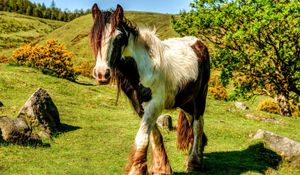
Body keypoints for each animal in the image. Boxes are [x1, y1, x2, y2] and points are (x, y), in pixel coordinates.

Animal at [90, 3, 210, 174]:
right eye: (94, 35)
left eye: (118, 37)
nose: (101, 74)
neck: (142, 68)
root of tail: (199, 43)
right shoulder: (139, 106)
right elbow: (154, 135)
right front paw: (161, 168)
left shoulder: (154, 104)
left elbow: (142, 138)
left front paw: (136, 169)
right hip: (186, 101)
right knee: (193, 122)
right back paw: (197, 155)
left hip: (200, 96)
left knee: (197, 124)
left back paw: (193, 162)